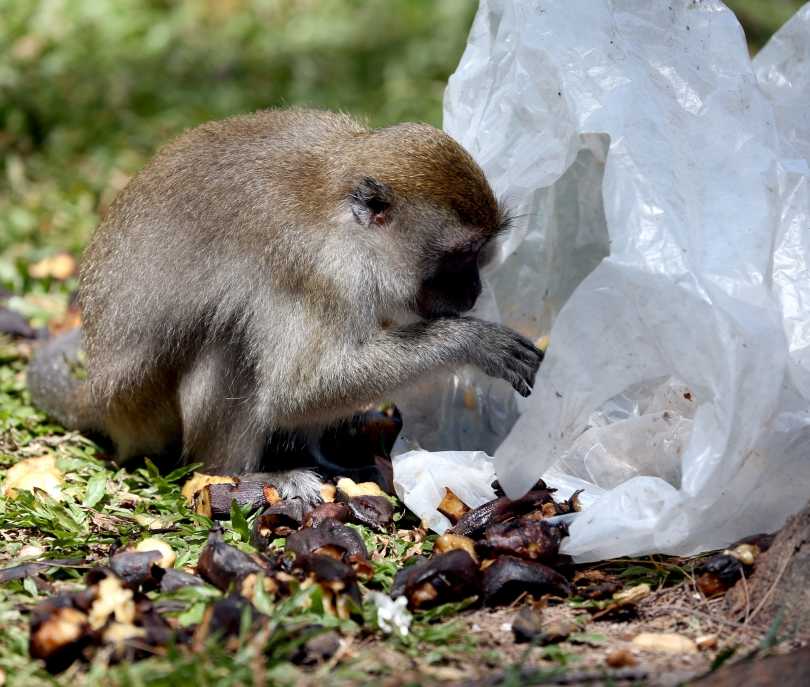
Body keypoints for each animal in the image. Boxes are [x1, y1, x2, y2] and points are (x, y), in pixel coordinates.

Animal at [26, 109, 544, 500]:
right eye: (460, 257)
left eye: (480, 254)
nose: (473, 290)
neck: (343, 215)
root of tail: (100, 396)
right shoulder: (323, 272)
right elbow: (296, 390)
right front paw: (472, 341)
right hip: (146, 411)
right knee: (233, 341)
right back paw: (238, 473)